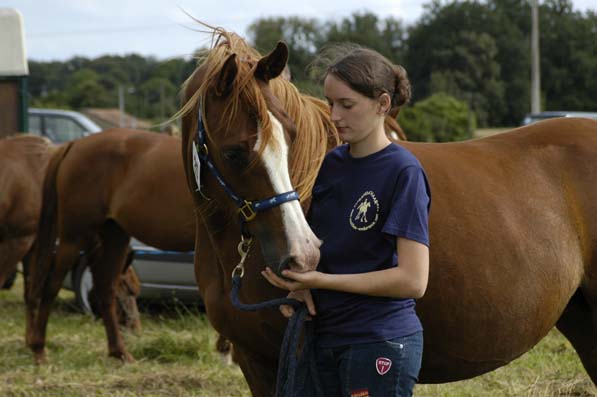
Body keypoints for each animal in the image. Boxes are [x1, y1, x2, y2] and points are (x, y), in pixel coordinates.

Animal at [28, 130, 196, 362]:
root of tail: (74, 145)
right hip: (74, 238)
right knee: (51, 285)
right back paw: (39, 349)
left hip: (115, 238)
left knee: (105, 289)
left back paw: (120, 352)